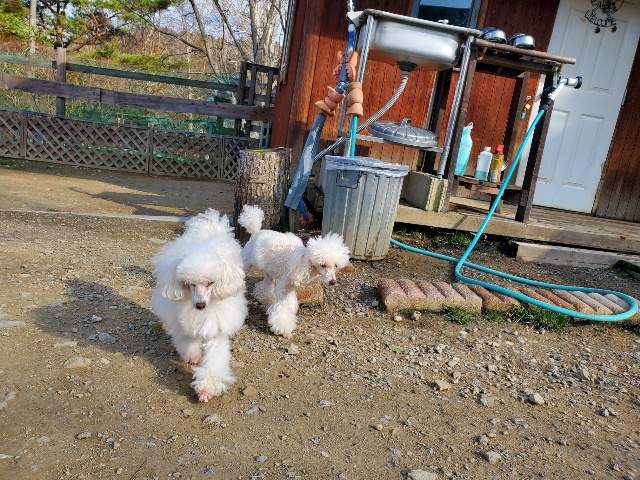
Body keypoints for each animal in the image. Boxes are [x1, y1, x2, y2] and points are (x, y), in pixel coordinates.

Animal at [150, 208, 247, 402]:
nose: (200, 305)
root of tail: (211, 222)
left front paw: (206, 388)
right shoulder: (181, 320)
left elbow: (215, 358)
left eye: (211, 282)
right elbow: (186, 339)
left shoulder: (216, 326)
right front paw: (193, 355)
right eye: (190, 284)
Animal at [238, 205, 350, 339]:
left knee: (266, 285)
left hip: (270, 272)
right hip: (246, 262)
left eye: (335, 266)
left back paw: (267, 299)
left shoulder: (290, 287)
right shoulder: (283, 287)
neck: (301, 262)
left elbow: (290, 304)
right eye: (322, 265)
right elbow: (282, 308)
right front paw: (285, 330)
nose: (333, 281)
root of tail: (256, 231)